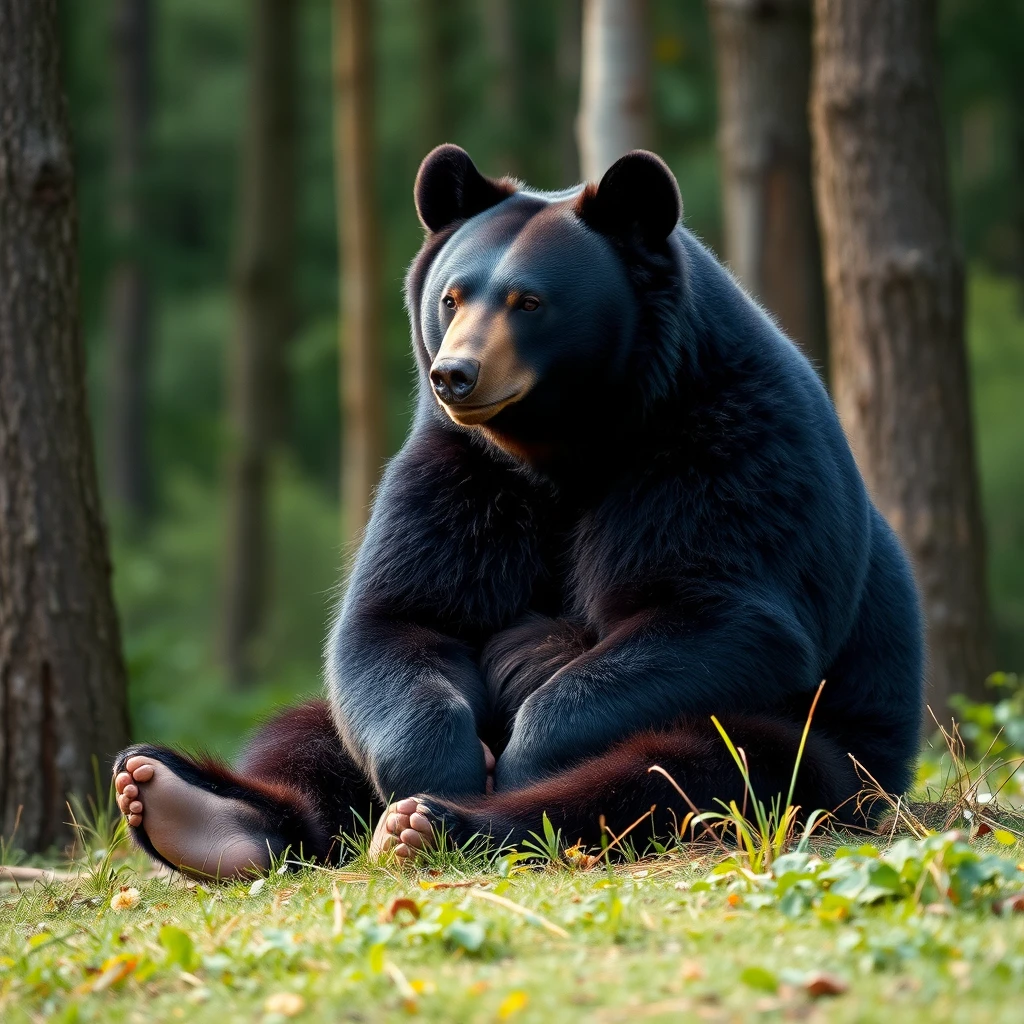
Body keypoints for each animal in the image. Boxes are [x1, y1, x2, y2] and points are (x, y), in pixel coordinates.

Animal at [116, 146, 925, 880]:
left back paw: (440, 824)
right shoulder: (459, 474)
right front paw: (440, 764)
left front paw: (509, 764)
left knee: (695, 767)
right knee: (302, 733)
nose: (455, 374)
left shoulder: (730, 450)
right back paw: (185, 804)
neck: (566, 445)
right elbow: (398, 616)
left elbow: (722, 611)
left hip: (834, 753)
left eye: (529, 302)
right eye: (452, 297)